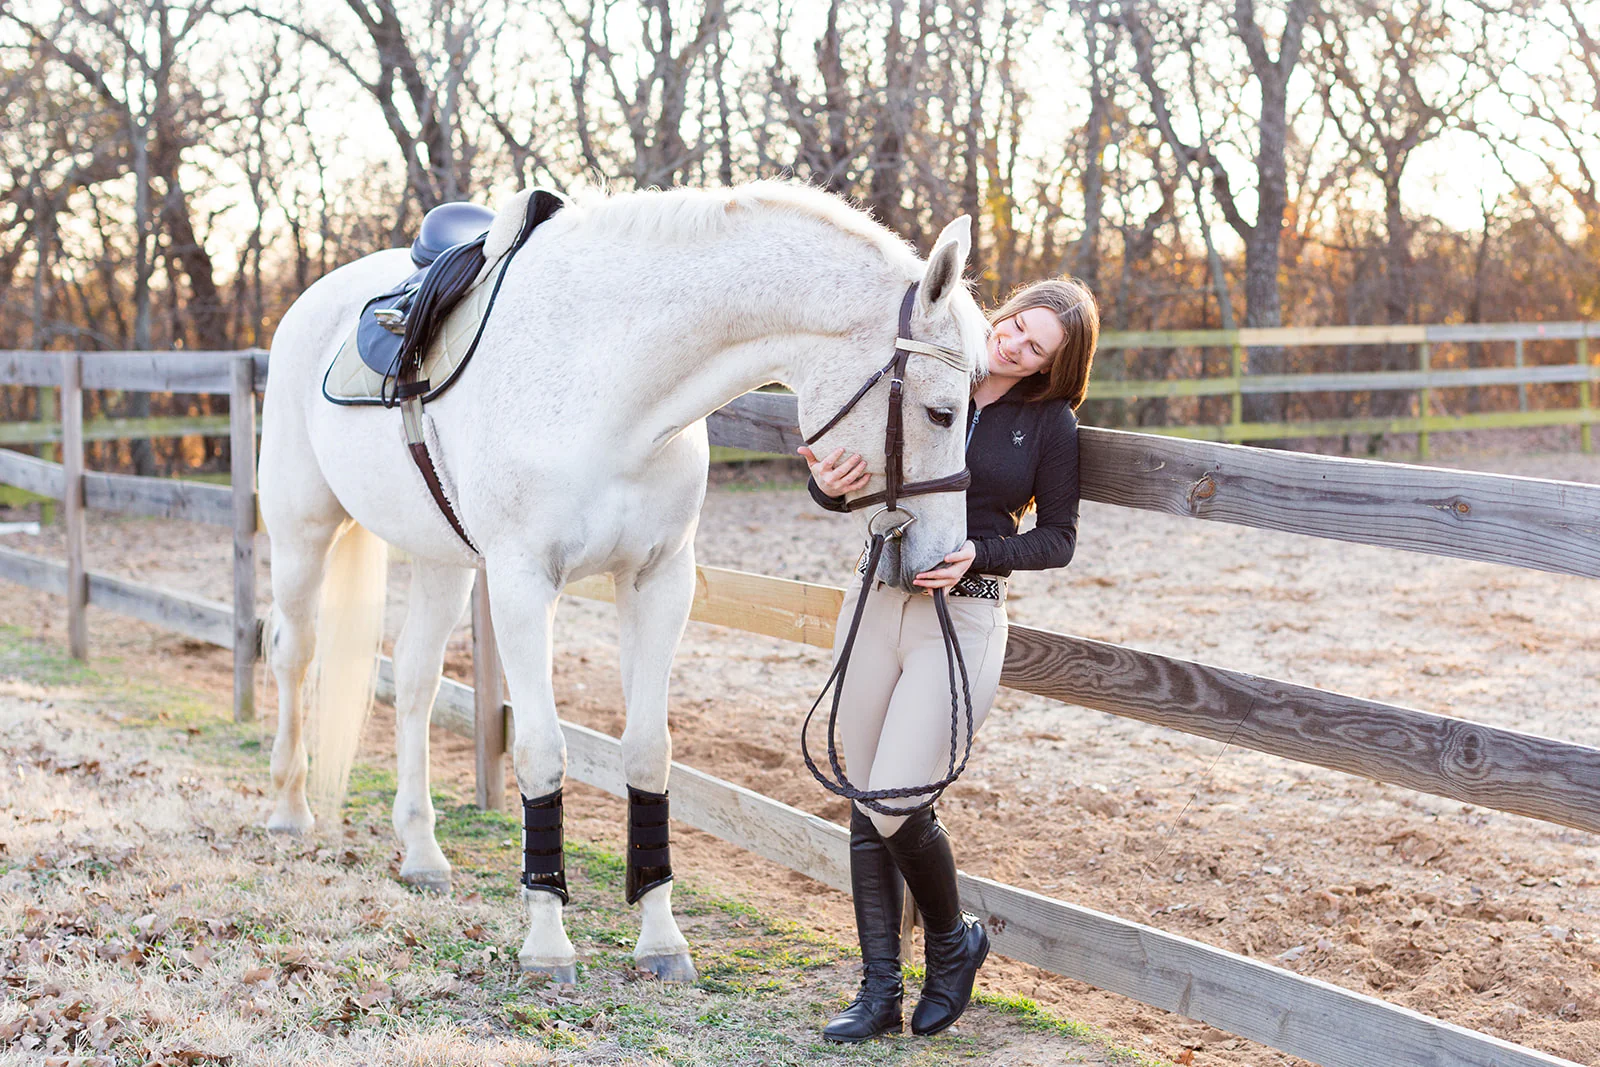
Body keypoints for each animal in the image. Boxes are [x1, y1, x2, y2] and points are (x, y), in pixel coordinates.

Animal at [256, 180, 988, 982]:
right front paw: (547, 944)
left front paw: (662, 940)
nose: (945, 561)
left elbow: (646, 751)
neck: (608, 381)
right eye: (941, 410)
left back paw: (421, 851)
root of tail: (310, 302)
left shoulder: (659, 581)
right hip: (302, 534)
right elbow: (542, 751)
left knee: (415, 683)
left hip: (441, 563)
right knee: (293, 655)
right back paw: (288, 811)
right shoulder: (521, 585)